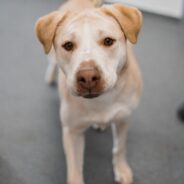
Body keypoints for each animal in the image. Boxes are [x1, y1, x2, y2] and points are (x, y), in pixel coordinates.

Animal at [35, 0, 142, 183]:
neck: (101, 101)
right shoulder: (72, 133)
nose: (88, 76)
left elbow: (120, 148)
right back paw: (50, 76)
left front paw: (121, 169)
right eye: (68, 45)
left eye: (108, 41)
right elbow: (74, 171)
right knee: (51, 62)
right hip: (50, 55)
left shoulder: (123, 120)